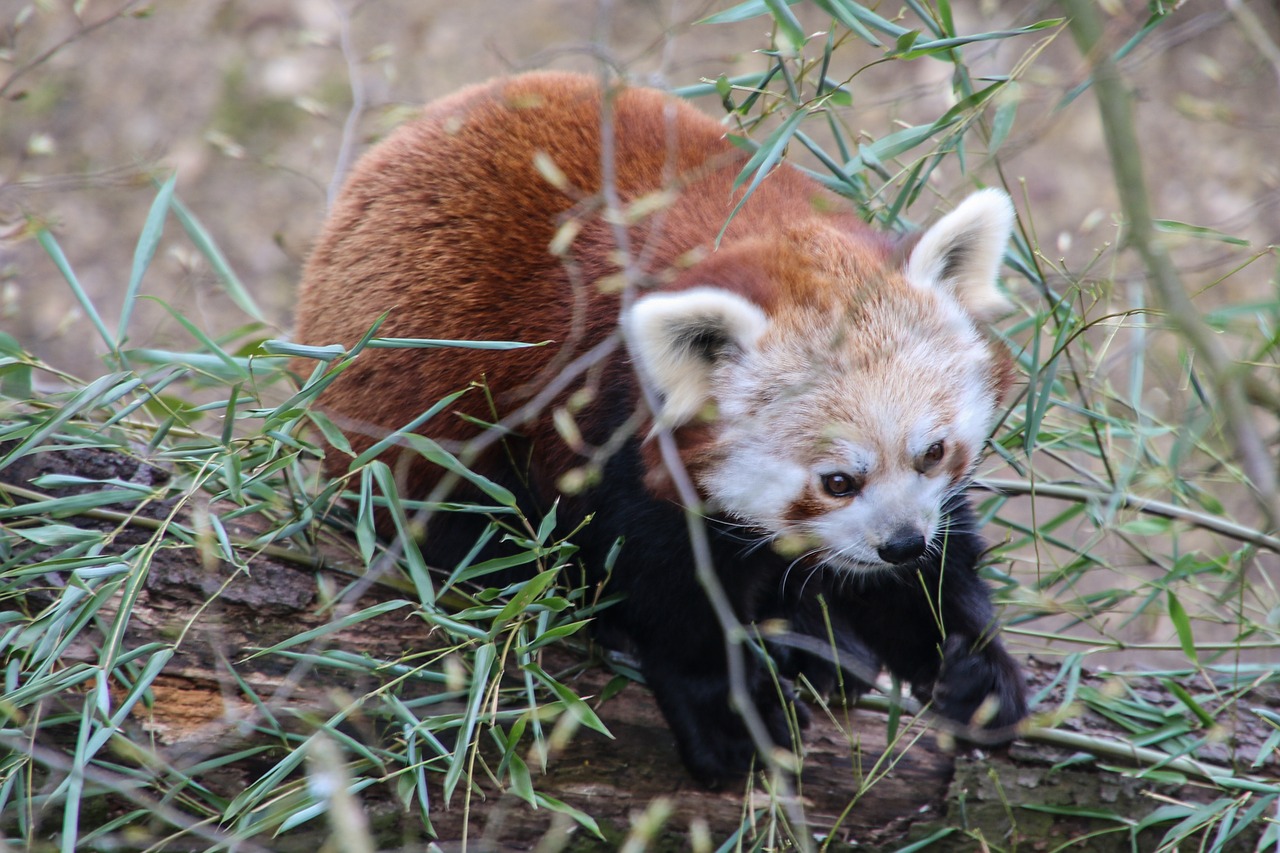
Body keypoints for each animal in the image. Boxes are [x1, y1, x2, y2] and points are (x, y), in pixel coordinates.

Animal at [294, 71, 1024, 783]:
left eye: (933, 452)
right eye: (837, 481)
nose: (900, 543)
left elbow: (935, 571)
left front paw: (973, 666)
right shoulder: (605, 423)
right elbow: (668, 591)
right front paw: (732, 718)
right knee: (468, 526)